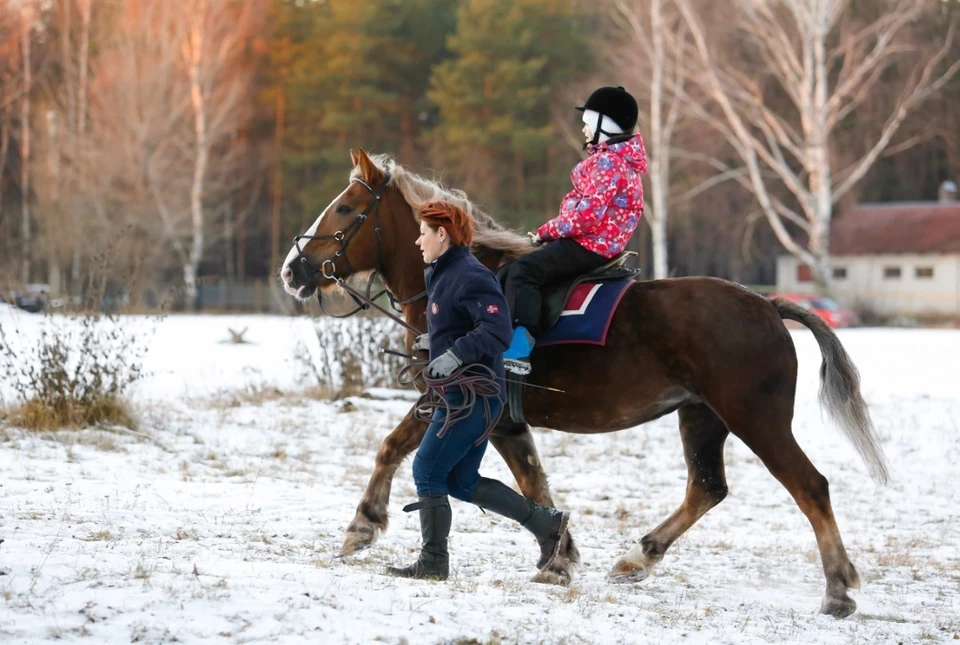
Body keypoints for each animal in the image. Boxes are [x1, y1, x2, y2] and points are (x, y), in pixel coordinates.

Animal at [280, 148, 892, 616]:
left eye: (346, 208)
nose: (293, 270)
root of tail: (767, 305)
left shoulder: (447, 398)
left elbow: (393, 447)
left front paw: (362, 525)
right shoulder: (502, 423)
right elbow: (532, 484)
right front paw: (560, 555)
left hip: (755, 418)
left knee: (810, 486)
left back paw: (838, 589)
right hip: (702, 416)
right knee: (707, 488)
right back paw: (640, 557)